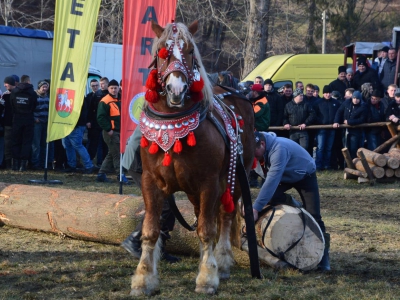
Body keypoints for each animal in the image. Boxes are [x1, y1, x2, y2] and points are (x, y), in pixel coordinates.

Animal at [131, 20, 256, 296]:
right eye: (162, 54)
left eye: (189, 52)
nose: (176, 89)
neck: (173, 126)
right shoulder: (150, 182)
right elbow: (151, 230)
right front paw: (143, 279)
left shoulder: (209, 183)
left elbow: (208, 230)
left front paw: (207, 278)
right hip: (191, 190)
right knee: (201, 215)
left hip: (233, 180)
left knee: (225, 216)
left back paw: (220, 262)